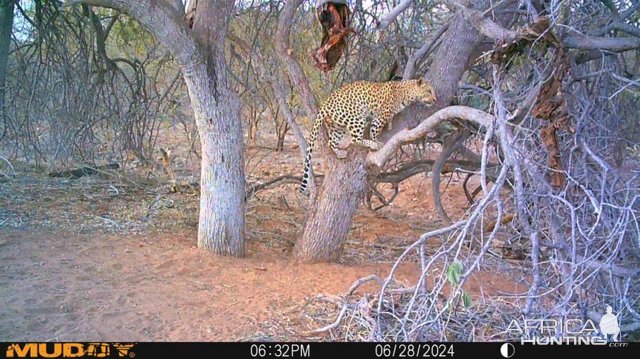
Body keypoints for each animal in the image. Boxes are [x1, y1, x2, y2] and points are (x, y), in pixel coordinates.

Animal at [300, 79, 436, 194]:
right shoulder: (379, 116)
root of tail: (325, 103)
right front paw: (376, 141)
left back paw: (340, 153)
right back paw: (373, 145)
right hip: (357, 117)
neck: (406, 93)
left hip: (337, 126)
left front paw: (390, 124)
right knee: (354, 139)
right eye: (429, 91)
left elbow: (388, 120)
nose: (435, 100)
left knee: (331, 142)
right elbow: (375, 131)